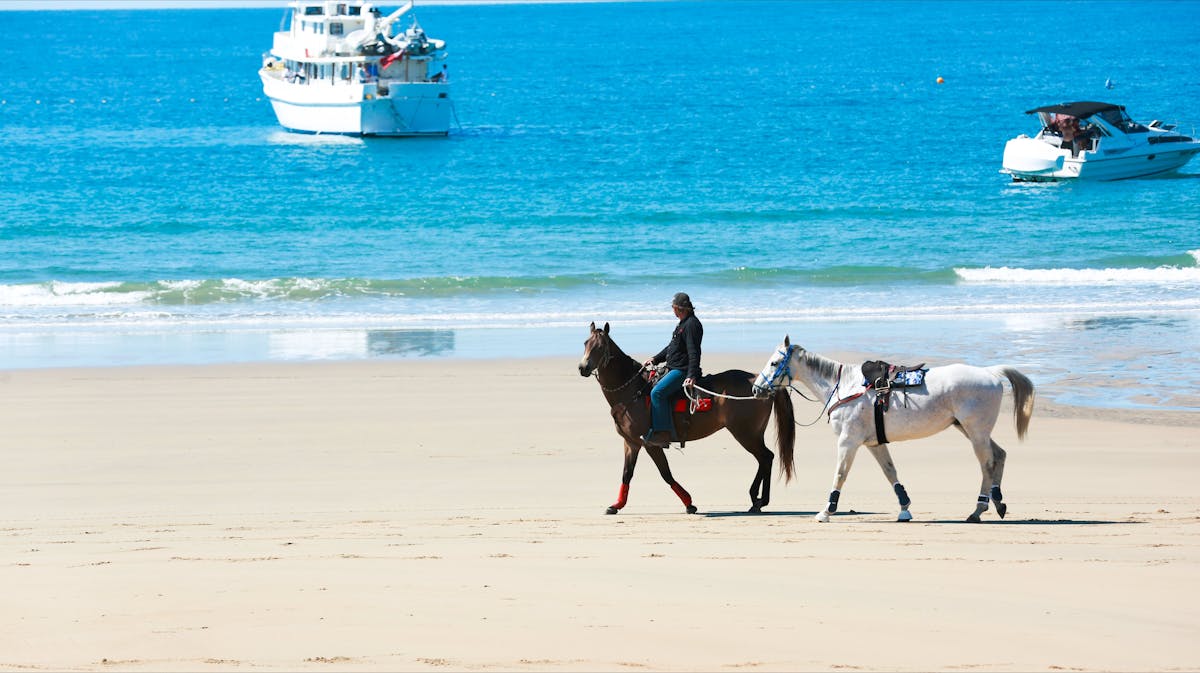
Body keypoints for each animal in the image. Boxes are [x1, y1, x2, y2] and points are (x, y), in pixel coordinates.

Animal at [578, 322, 796, 515]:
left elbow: (666, 474)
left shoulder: (650, 443)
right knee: (764, 460)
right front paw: (616, 505)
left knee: (766, 458)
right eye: (586, 343)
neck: (633, 390)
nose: (583, 367)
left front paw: (689, 502)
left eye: (600, 346)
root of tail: (760, 384)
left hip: (746, 433)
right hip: (750, 434)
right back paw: (756, 499)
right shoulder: (631, 443)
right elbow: (627, 474)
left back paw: (759, 500)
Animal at [753, 336, 1035, 523]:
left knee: (987, 464)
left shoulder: (848, 441)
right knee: (999, 455)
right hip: (971, 430)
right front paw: (905, 508)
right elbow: (890, 473)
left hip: (976, 432)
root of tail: (990, 373)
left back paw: (979, 509)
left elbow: (840, 474)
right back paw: (997, 501)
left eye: (775, 362)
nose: (757, 389)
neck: (844, 387)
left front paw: (826, 510)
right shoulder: (874, 443)